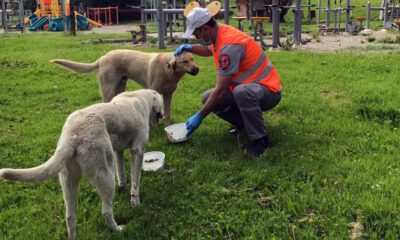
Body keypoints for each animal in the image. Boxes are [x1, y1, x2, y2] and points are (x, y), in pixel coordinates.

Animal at [0, 89, 164, 239]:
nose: (161, 117)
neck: (141, 96)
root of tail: (72, 134)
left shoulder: (118, 151)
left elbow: (121, 171)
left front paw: (123, 185)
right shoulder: (138, 151)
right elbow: (136, 182)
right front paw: (135, 203)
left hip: (68, 181)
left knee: (69, 217)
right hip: (105, 175)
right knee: (106, 211)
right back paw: (117, 229)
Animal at [51, 49, 198, 124]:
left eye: (192, 59)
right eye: (184, 61)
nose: (197, 69)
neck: (168, 70)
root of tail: (102, 58)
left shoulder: (168, 94)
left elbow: (167, 113)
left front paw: (167, 126)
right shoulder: (153, 92)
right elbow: (154, 116)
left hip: (120, 86)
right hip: (108, 89)